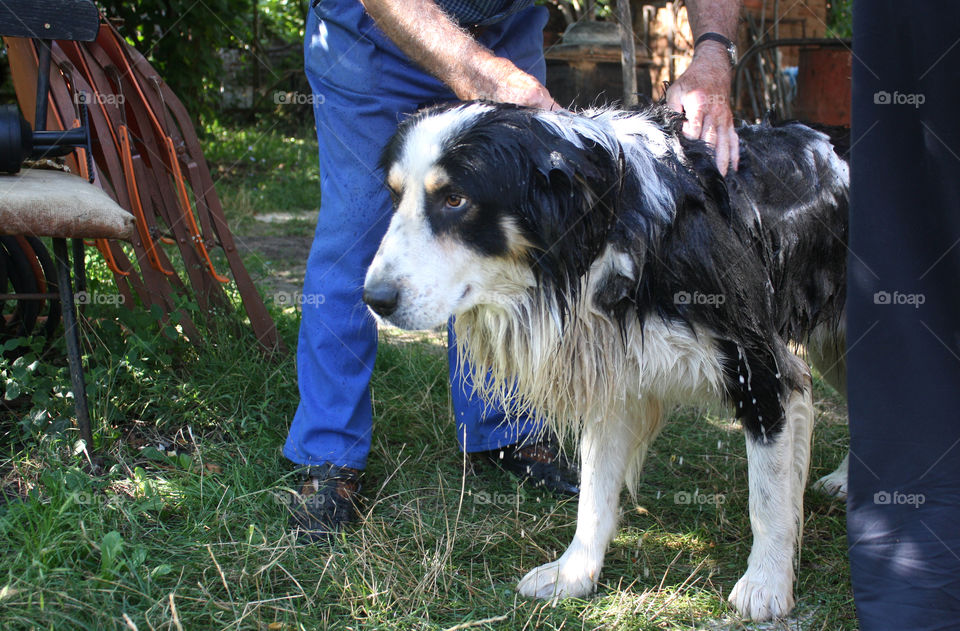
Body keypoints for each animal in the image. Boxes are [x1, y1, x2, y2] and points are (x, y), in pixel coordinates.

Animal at [362, 103, 848, 624]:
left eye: (455, 199)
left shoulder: (758, 368)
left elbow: (768, 495)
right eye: (395, 196)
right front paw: (574, 572)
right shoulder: (616, 380)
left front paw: (767, 582)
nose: (374, 299)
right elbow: (595, 492)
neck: (607, 233)